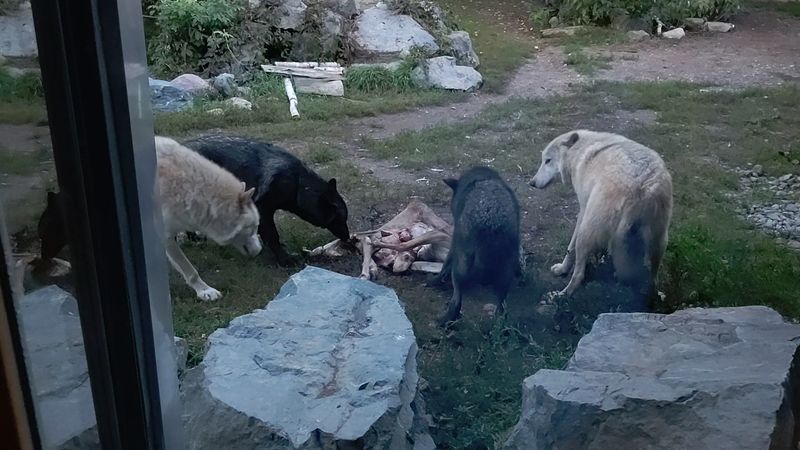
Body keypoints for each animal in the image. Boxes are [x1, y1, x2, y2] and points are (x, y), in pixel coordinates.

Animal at [181, 134, 350, 266]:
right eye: (340, 219)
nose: (348, 238)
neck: (299, 184)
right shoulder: (263, 210)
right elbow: (272, 235)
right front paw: (285, 259)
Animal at [438, 167, 521, 326]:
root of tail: (491, 223)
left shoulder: (455, 241)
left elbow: (446, 262)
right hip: (505, 270)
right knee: (501, 306)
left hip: (462, 265)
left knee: (457, 298)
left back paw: (448, 319)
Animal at [529, 130, 673, 297]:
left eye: (548, 161)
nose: (532, 183)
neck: (579, 150)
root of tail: (641, 187)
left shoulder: (583, 211)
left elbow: (570, 249)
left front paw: (562, 269)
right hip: (659, 241)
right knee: (653, 276)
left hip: (586, 233)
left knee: (579, 275)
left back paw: (562, 295)